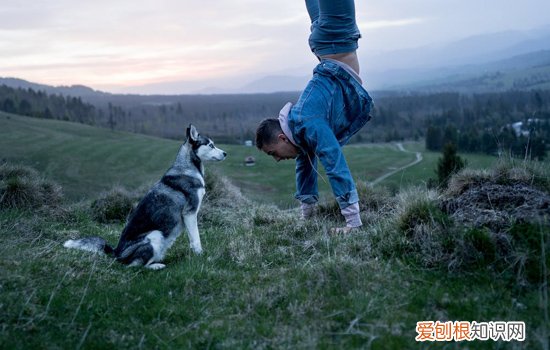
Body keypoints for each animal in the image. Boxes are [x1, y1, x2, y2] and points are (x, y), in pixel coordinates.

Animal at [63, 124, 227, 270]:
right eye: (211, 145)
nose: (225, 153)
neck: (187, 168)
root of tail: (116, 253)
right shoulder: (190, 214)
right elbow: (196, 239)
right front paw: (200, 256)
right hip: (155, 235)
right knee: (134, 266)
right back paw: (156, 266)